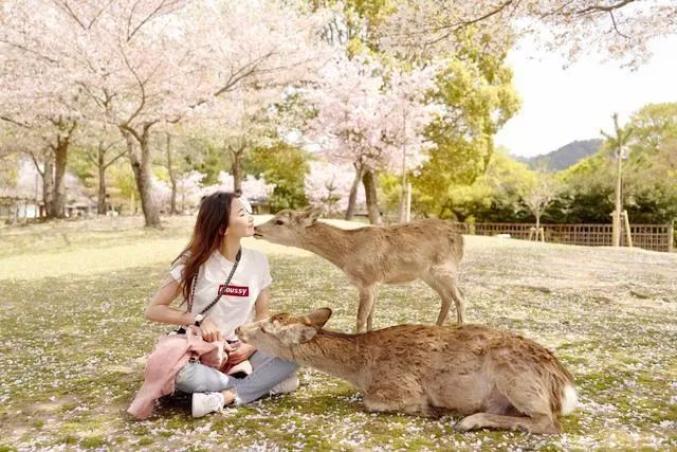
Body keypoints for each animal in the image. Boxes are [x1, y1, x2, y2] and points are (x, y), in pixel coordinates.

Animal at [236, 308, 576, 434]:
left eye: (265, 329)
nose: (239, 328)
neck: (363, 368)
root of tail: (565, 387)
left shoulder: (399, 386)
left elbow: (373, 402)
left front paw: (430, 410)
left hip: (517, 378)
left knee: (548, 422)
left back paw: (468, 421)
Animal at [254, 210, 464, 334]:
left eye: (279, 221)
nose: (256, 228)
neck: (348, 254)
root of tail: (460, 237)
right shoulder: (374, 283)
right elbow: (371, 315)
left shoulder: (369, 280)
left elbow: (360, 318)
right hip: (428, 274)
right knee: (447, 297)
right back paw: (436, 328)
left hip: (446, 268)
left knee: (460, 297)